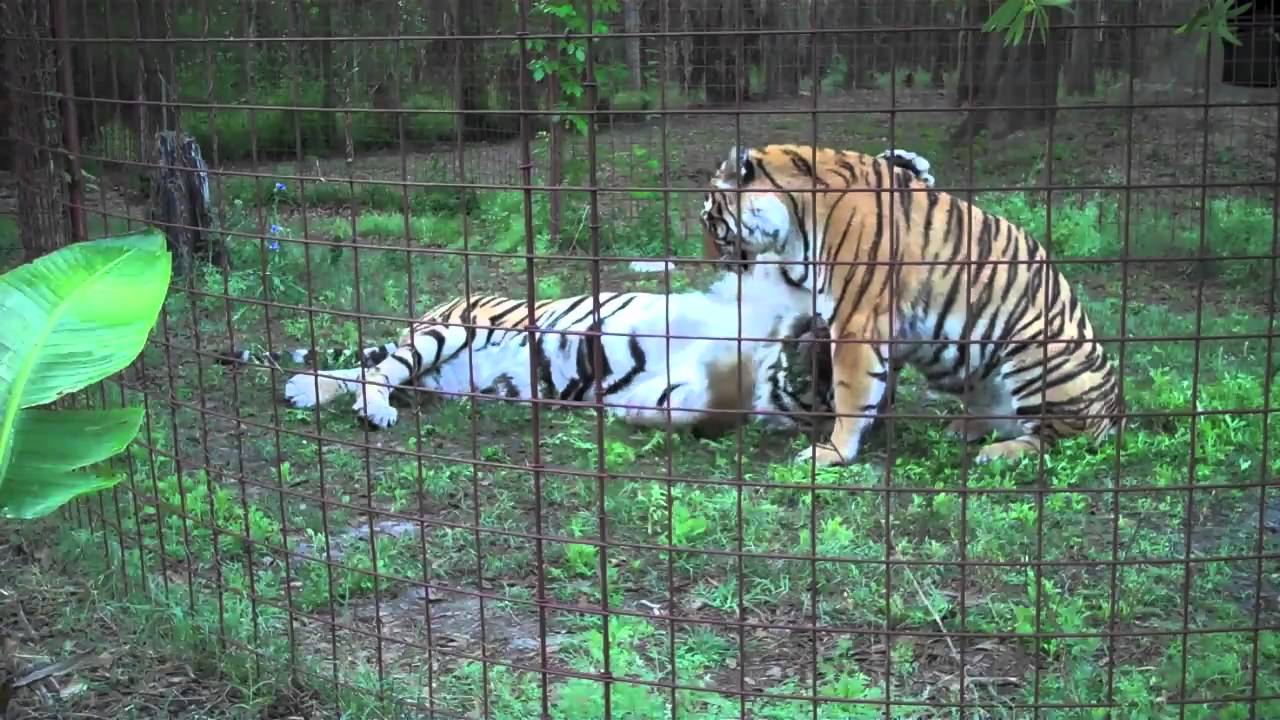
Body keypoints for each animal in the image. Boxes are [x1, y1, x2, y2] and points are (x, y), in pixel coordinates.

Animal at [269, 268, 835, 439]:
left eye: (822, 390)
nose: (818, 337)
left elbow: (686, 403)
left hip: (431, 376)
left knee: (371, 371)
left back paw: (305, 390)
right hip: (443, 334)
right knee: (380, 370)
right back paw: (370, 408)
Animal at [699, 143, 1122, 467]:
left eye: (711, 222)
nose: (715, 264)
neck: (795, 221)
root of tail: (1116, 410)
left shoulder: (857, 321)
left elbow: (849, 391)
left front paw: (833, 452)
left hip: (1036, 353)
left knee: (1059, 440)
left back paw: (998, 452)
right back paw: (966, 428)